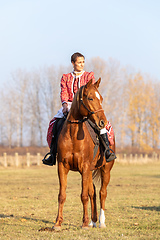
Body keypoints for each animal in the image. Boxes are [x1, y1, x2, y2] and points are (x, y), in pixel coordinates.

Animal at [53, 78, 115, 230]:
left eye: (101, 98)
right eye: (90, 98)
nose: (102, 122)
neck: (73, 135)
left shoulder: (85, 167)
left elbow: (84, 195)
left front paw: (85, 223)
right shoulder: (62, 167)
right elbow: (62, 195)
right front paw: (57, 223)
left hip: (106, 170)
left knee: (102, 192)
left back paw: (101, 222)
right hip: (90, 172)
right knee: (93, 192)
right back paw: (93, 221)